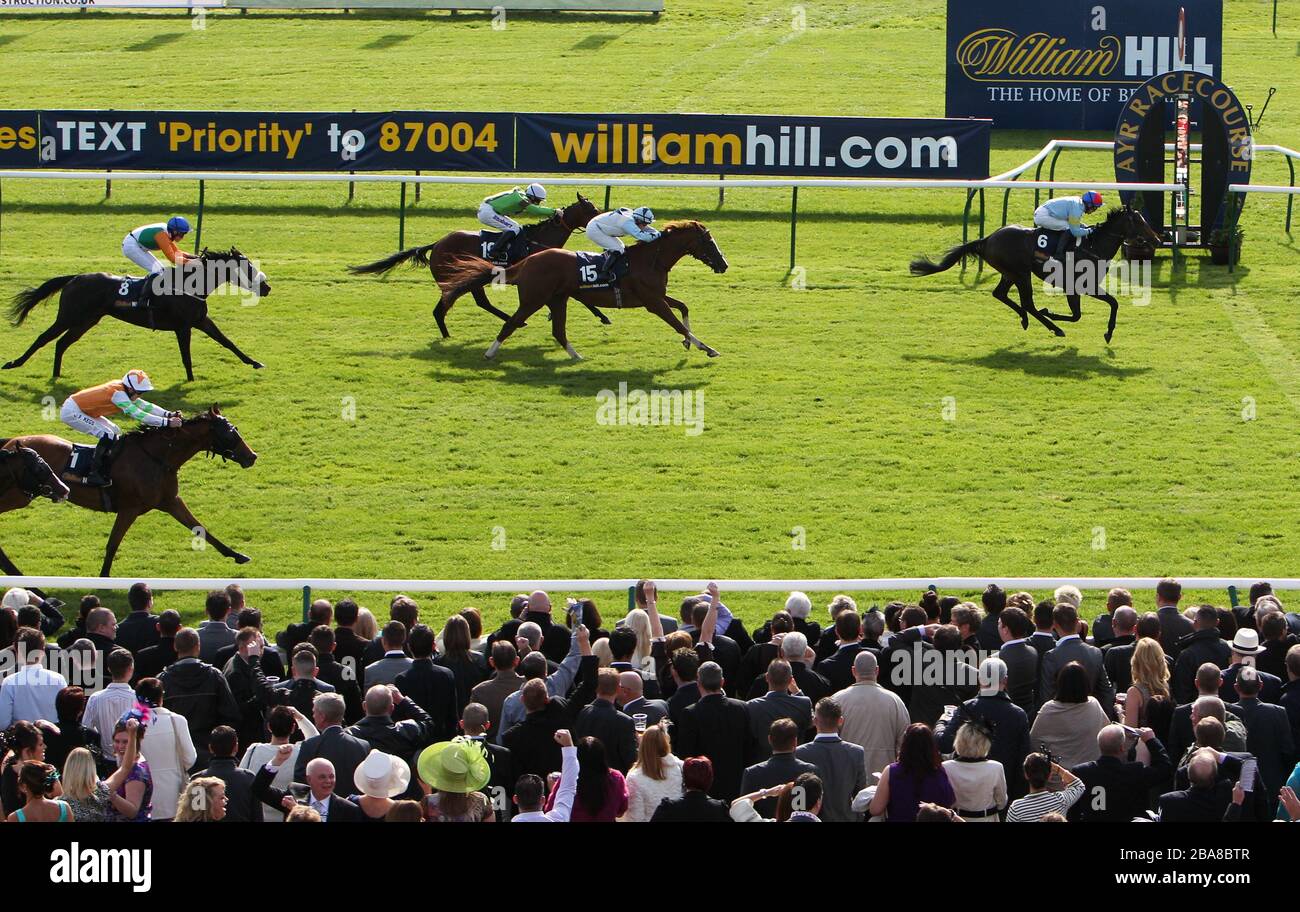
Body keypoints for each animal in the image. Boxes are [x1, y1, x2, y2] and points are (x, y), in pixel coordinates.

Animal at [0, 407, 258, 579]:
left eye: (235, 429)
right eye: (229, 433)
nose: (252, 456)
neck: (157, 458)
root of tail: (11, 442)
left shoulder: (170, 501)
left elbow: (199, 527)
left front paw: (237, 555)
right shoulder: (129, 509)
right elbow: (112, 544)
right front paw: (103, 580)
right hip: (18, 496)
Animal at [2, 246, 270, 381]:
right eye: (248, 267)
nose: (266, 287)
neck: (190, 285)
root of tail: (75, 278)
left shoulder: (201, 320)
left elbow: (228, 342)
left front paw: (255, 362)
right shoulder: (183, 327)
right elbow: (186, 356)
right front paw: (191, 380)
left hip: (87, 320)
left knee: (61, 343)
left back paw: (57, 375)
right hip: (69, 316)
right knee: (43, 339)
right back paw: (14, 363)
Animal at [345, 192, 608, 340]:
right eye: (592, 209)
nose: (600, 219)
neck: (539, 240)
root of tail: (437, 244)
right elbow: (579, 298)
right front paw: (602, 316)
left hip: (470, 279)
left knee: (480, 303)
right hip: (455, 279)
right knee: (444, 308)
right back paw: (448, 336)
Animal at [436, 220, 728, 361]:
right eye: (708, 242)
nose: (723, 264)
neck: (650, 259)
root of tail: (528, 260)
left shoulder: (655, 296)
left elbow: (684, 307)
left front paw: (690, 343)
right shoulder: (653, 302)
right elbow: (678, 324)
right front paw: (707, 347)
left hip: (557, 299)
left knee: (558, 331)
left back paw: (576, 356)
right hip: (534, 299)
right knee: (512, 323)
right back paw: (489, 353)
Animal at [909, 205, 1164, 345]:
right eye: (1138, 221)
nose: (1157, 239)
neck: (1092, 245)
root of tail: (987, 239)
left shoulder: (1079, 288)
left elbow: (1090, 311)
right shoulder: (1080, 286)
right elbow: (1097, 308)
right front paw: (1107, 332)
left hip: (1011, 273)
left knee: (1001, 294)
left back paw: (1025, 318)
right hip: (1021, 274)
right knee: (1027, 303)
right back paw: (1051, 326)